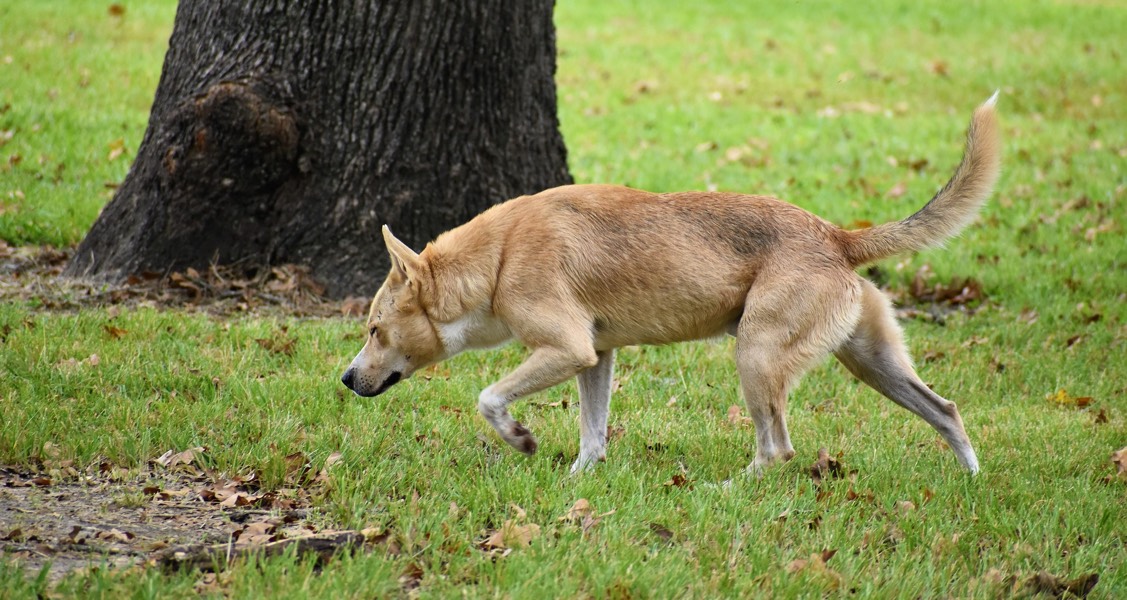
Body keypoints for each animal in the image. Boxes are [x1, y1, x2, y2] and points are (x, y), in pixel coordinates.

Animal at [338, 93, 1000, 473]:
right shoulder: (595, 357)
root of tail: (837, 237)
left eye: (373, 329)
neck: (499, 257)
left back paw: (730, 489)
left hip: (756, 355)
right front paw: (578, 484)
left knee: (777, 448)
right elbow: (593, 436)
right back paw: (971, 480)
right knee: (946, 411)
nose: (345, 379)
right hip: (870, 362)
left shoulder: (566, 349)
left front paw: (521, 440)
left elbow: (489, 398)